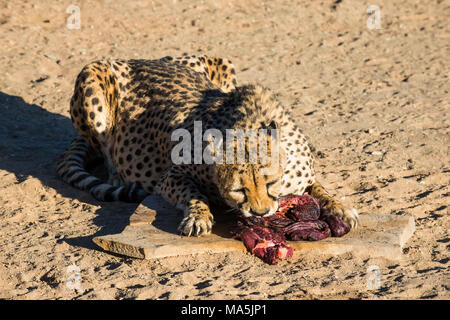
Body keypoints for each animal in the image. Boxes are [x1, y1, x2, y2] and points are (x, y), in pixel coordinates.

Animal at [57, 53, 358, 236]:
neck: (249, 123)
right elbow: (192, 193)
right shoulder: (171, 175)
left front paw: (340, 207)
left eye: (270, 183)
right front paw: (198, 216)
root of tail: (139, 59)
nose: (261, 212)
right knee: (107, 155)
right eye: (239, 190)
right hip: (91, 76)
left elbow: (320, 188)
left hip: (220, 61)